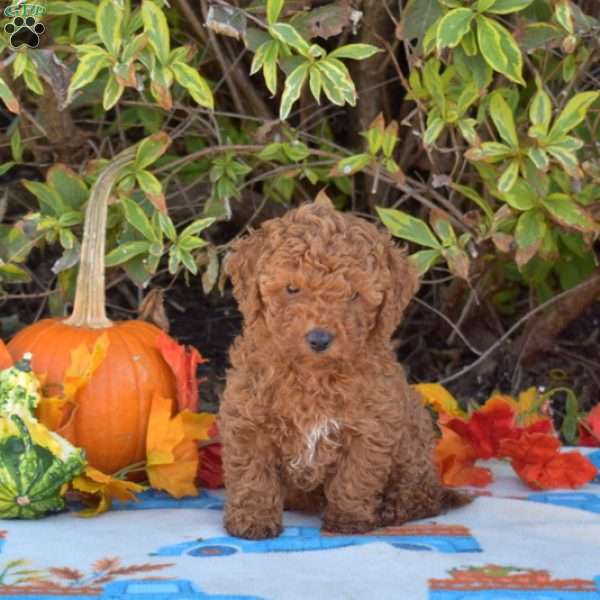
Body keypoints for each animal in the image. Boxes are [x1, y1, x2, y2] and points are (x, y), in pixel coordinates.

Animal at [220, 196, 468, 540]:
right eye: (292, 289)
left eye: (353, 295)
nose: (320, 338)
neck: (312, 373)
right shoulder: (248, 419)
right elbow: (252, 475)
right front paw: (252, 520)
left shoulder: (371, 427)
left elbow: (356, 477)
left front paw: (348, 520)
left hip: (413, 444)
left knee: (422, 495)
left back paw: (392, 510)